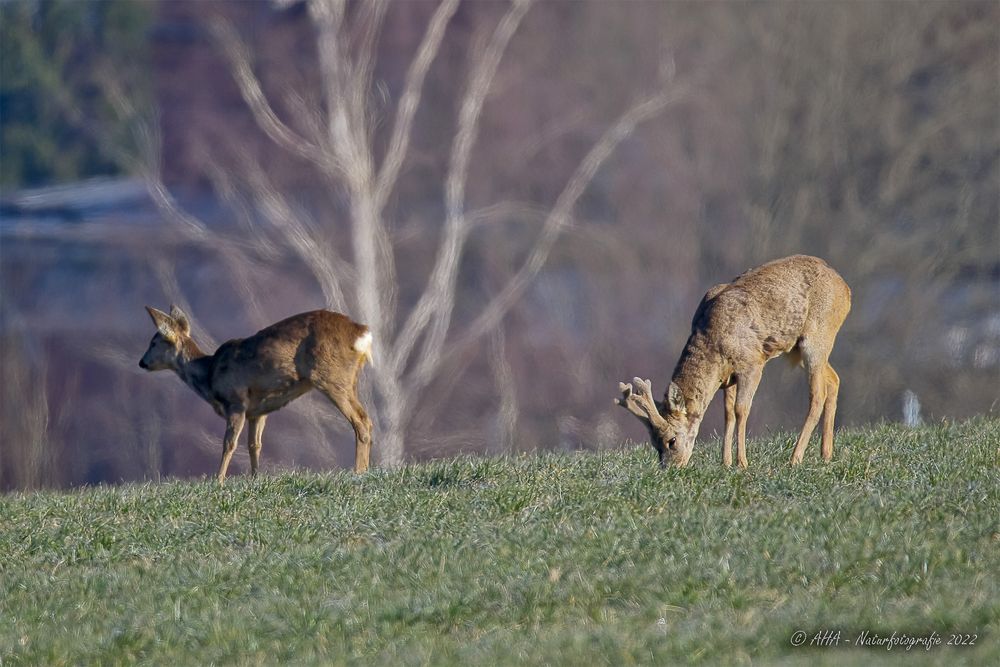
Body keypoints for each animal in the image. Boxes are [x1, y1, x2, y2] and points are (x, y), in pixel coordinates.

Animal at [140, 306, 376, 482]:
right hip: (350, 379)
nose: (142, 362)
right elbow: (255, 445)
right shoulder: (258, 411)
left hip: (330, 375)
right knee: (366, 419)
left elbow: (229, 443)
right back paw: (364, 470)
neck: (209, 375)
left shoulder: (237, 402)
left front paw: (218, 480)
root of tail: (361, 333)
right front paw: (255, 478)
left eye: (154, 342)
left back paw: (358, 472)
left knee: (361, 420)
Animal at [616, 256, 852, 470]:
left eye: (671, 441)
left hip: (817, 338)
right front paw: (726, 462)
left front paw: (742, 463)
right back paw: (826, 454)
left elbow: (741, 409)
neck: (712, 339)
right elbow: (728, 412)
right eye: (654, 444)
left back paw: (795, 458)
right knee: (834, 380)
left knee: (817, 395)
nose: (669, 469)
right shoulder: (728, 377)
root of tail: (846, 289)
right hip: (796, 349)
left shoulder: (752, 364)